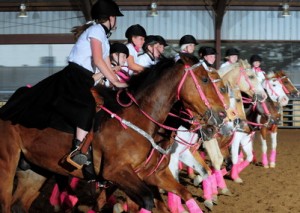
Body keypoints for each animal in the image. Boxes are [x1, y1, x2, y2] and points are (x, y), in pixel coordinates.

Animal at [0, 53, 226, 213]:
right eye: (205, 80)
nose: (222, 116)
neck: (139, 118)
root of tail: (7, 107)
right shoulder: (116, 172)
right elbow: (146, 201)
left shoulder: (153, 175)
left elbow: (183, 193)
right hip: (7, 166)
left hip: (34, 170)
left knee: (19, 205)